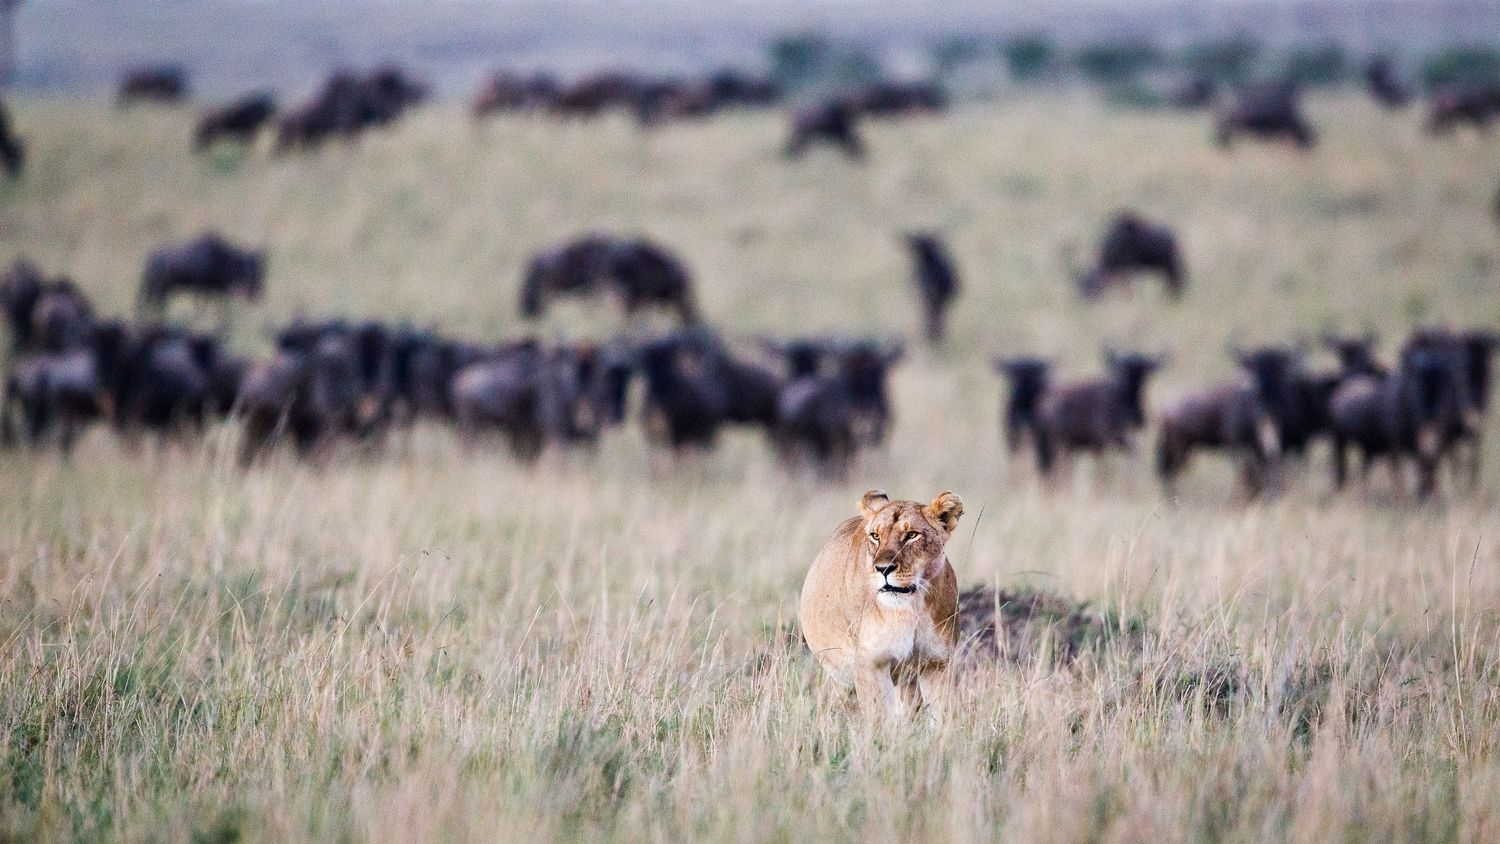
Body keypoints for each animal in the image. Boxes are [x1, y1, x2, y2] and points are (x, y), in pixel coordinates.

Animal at [798, 489, 964, 723]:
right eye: (875, 536)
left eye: (912, 535)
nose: (883, 568)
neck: (910, 609)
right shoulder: (870, 663)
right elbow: (878, 719)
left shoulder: (937, 662)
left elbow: (943, 716)